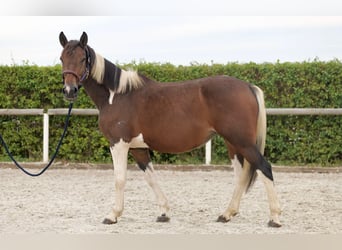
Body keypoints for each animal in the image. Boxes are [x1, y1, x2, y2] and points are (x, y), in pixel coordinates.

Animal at [58, 31, 282, 227]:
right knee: (241, 175)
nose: (69, 91)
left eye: (82, 59)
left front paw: (113, 215)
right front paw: (164, 212)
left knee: (264, 168)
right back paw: (227, 214)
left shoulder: (118, 144)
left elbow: (119, 179)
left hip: (242, 142)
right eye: (61, 59)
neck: (117, 95)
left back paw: (274, 218)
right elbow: (151, 177)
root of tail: (248, 87)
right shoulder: (138, 148)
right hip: (233, 144)